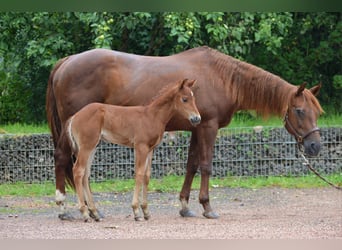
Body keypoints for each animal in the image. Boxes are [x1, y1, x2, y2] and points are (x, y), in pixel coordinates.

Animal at [46, 46, 324, 220]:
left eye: (317, 112)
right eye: (299, 111)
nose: (315, 147)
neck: (222, 77)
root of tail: (66, 62)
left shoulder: (196, 127)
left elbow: (191, 165)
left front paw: (185, 206)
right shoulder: (208, 127)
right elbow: (206, 166)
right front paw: (207, 207)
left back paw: (91, 210)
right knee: (64, 161)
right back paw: (64, 208)